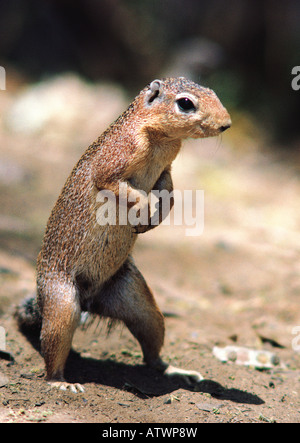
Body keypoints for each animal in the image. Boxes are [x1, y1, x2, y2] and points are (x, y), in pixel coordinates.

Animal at [15, 76, 231, 392]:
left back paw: (175, 371)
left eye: (214, 92)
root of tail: (90, 301)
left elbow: (169, 192)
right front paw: (144, 208)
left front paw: (154, 217)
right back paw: (60, 382)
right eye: (185, 103)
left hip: (139, 302)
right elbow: (119, 185)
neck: (160, 139)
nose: (227, 124)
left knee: (151, 348)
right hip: (62, 304)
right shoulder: (116, 159)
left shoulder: (166, 170)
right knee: (53, 346)